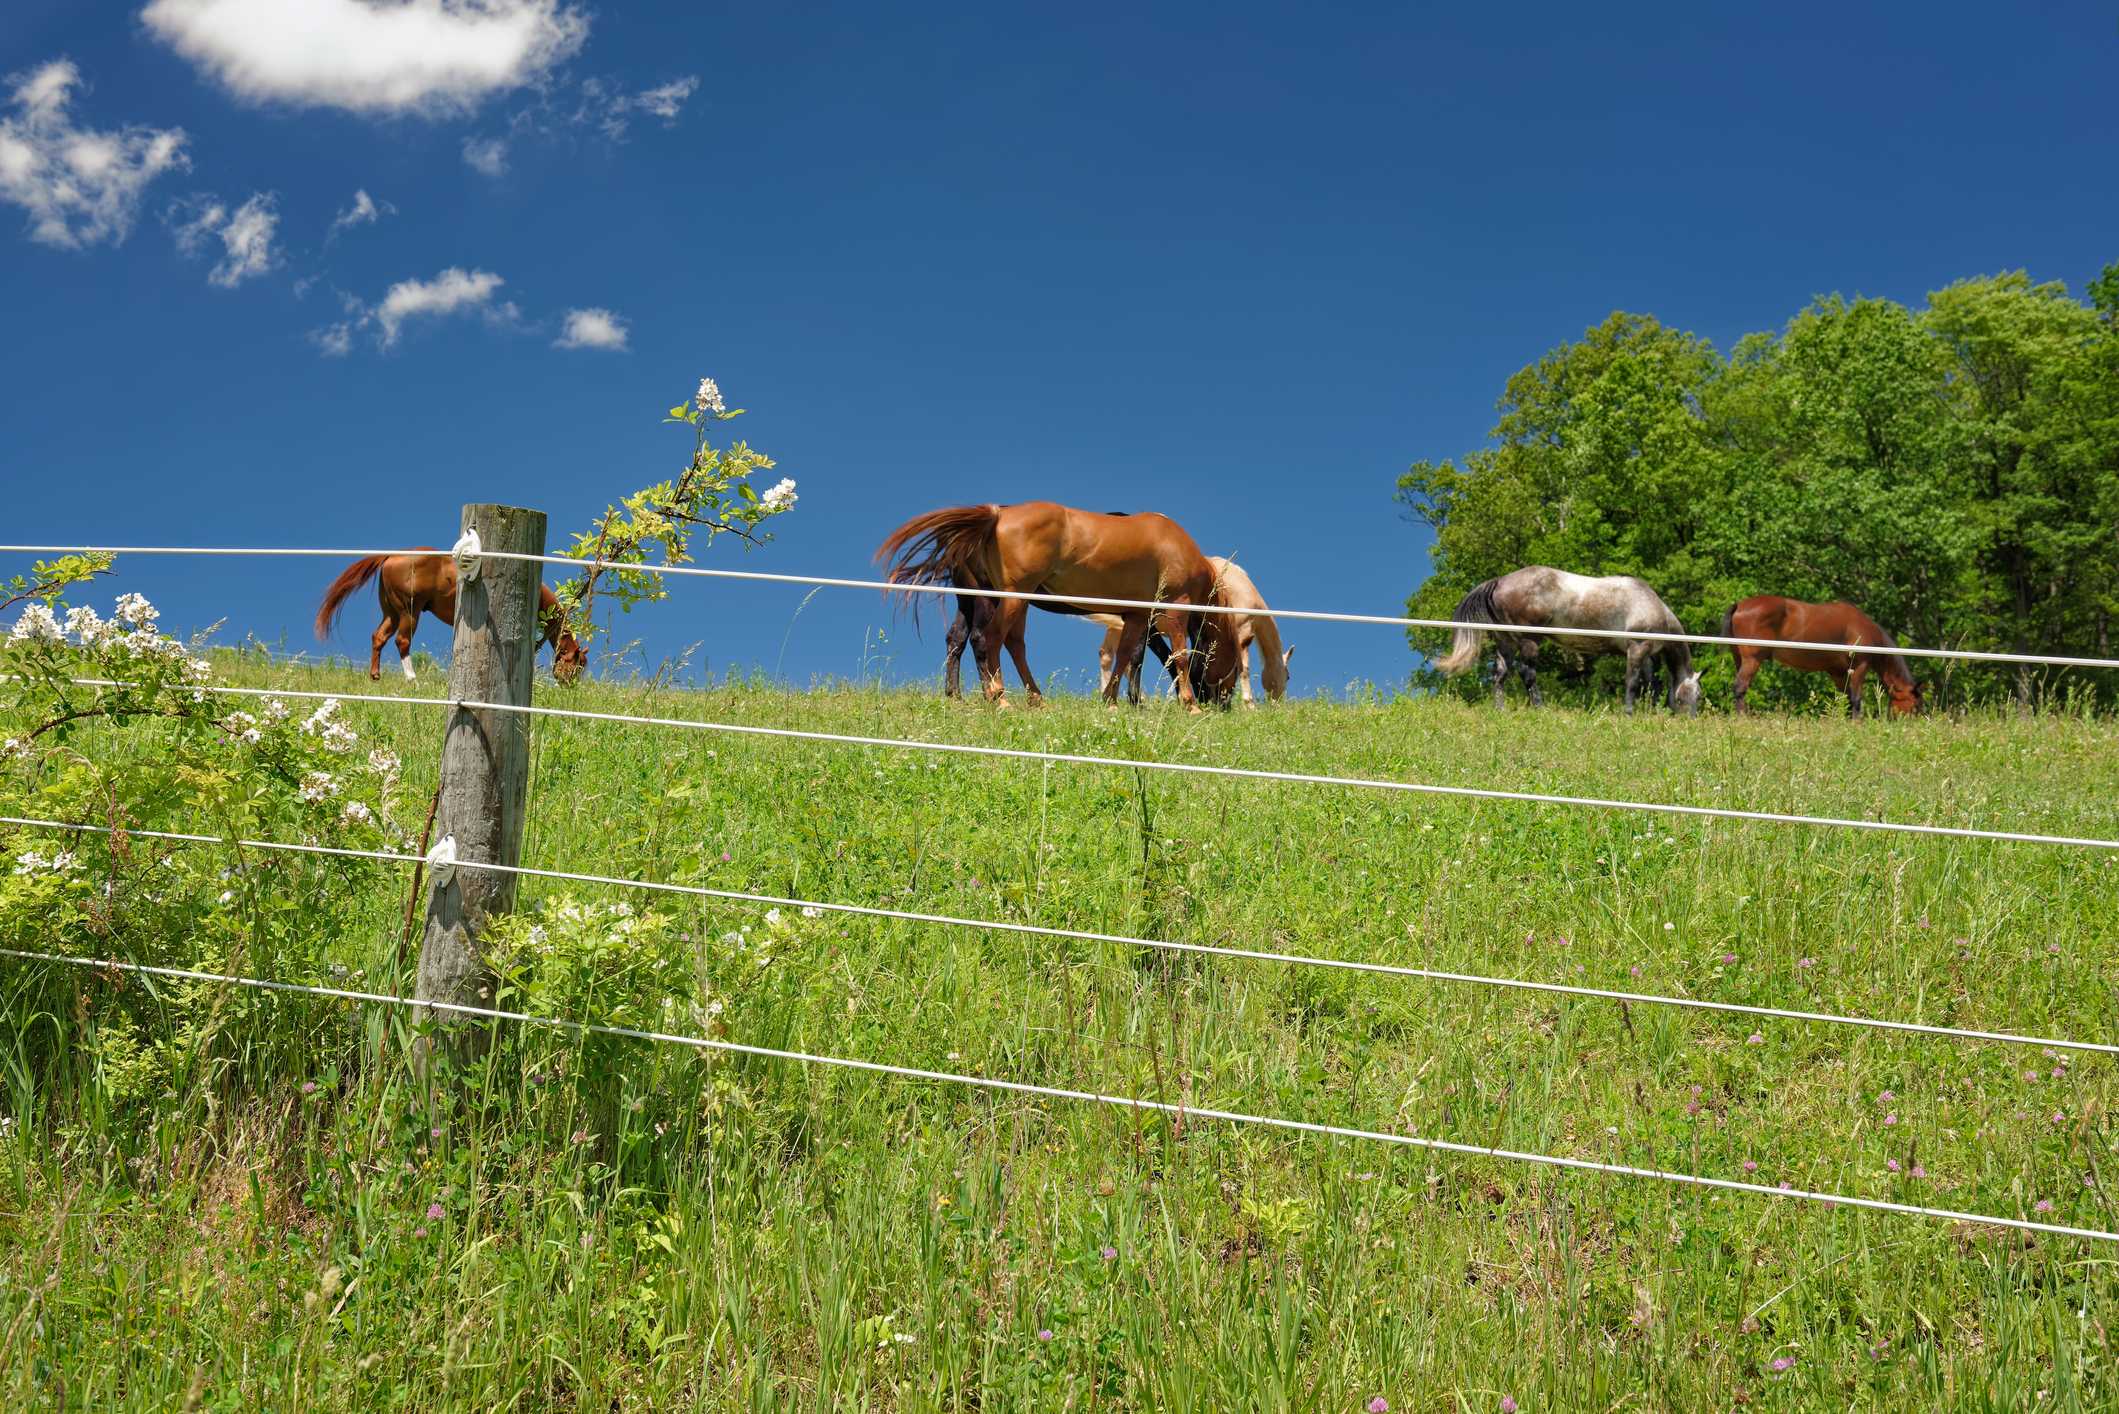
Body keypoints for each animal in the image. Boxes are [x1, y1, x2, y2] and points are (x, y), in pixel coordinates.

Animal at [309, 551, 589, 686]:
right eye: (577, 666)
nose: (570, 687)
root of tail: (391, 555)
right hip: (409, 612)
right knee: (401, 642)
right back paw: (412, 680)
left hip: (391, 611)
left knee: (378, 637)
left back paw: (375, 676)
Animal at [877, 502, 1237, 712]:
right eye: (1233, 667)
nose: (1222, 703)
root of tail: (997, 514)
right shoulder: (1174, 612)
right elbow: (1178, 655)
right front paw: (1188, 704)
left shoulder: (1135, 616)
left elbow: (1126, 656)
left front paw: (1111, 701)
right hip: (1009, 599)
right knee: (990, 640)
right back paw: (1000, 697)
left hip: (1003, 602)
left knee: (1001, 643)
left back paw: (1028, 698)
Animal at [1093, 555, 1288, 703]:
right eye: (1288, 676)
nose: (1277, 706)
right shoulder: (1238, 635)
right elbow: (1243, 669)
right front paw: (1249, 705)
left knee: (1107, 654)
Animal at [1432, 563, 1695, 712]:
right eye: (1696, 696)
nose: (1689, 720)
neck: (1651, 604)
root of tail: (1499, 581)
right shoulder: (1638, 648)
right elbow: (1632, 681)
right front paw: (1629, 712)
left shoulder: (1647, 653)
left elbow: (1652, 684)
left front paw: (1652, 711)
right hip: (1529, 641)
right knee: (1527, 673)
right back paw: (1540, 708)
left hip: (1505, 642)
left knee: (1499, 676)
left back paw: (1501, 710)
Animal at [1720, 593, 1924, 720]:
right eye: (1915, 705)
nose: (1917, 723)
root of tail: (1740, 605)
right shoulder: (1860, 667)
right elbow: (1856, 699)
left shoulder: (1838, 672)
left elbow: (1847, 699)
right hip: (1752, 660)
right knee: (1740, 687)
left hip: (1740, 659)